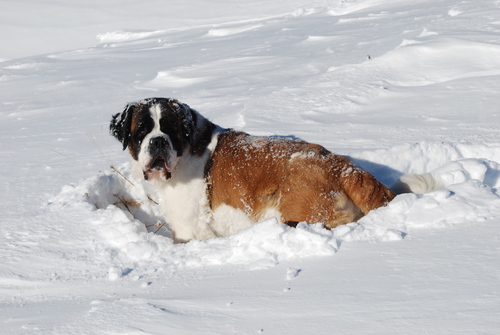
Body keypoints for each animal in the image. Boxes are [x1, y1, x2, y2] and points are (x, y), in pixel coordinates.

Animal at [110, 98, 438, 243]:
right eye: (142, 131)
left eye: (170, 130)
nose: (158, 141)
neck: (186, 151)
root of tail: (340, 164)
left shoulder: (189, 229)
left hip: (297, 208)